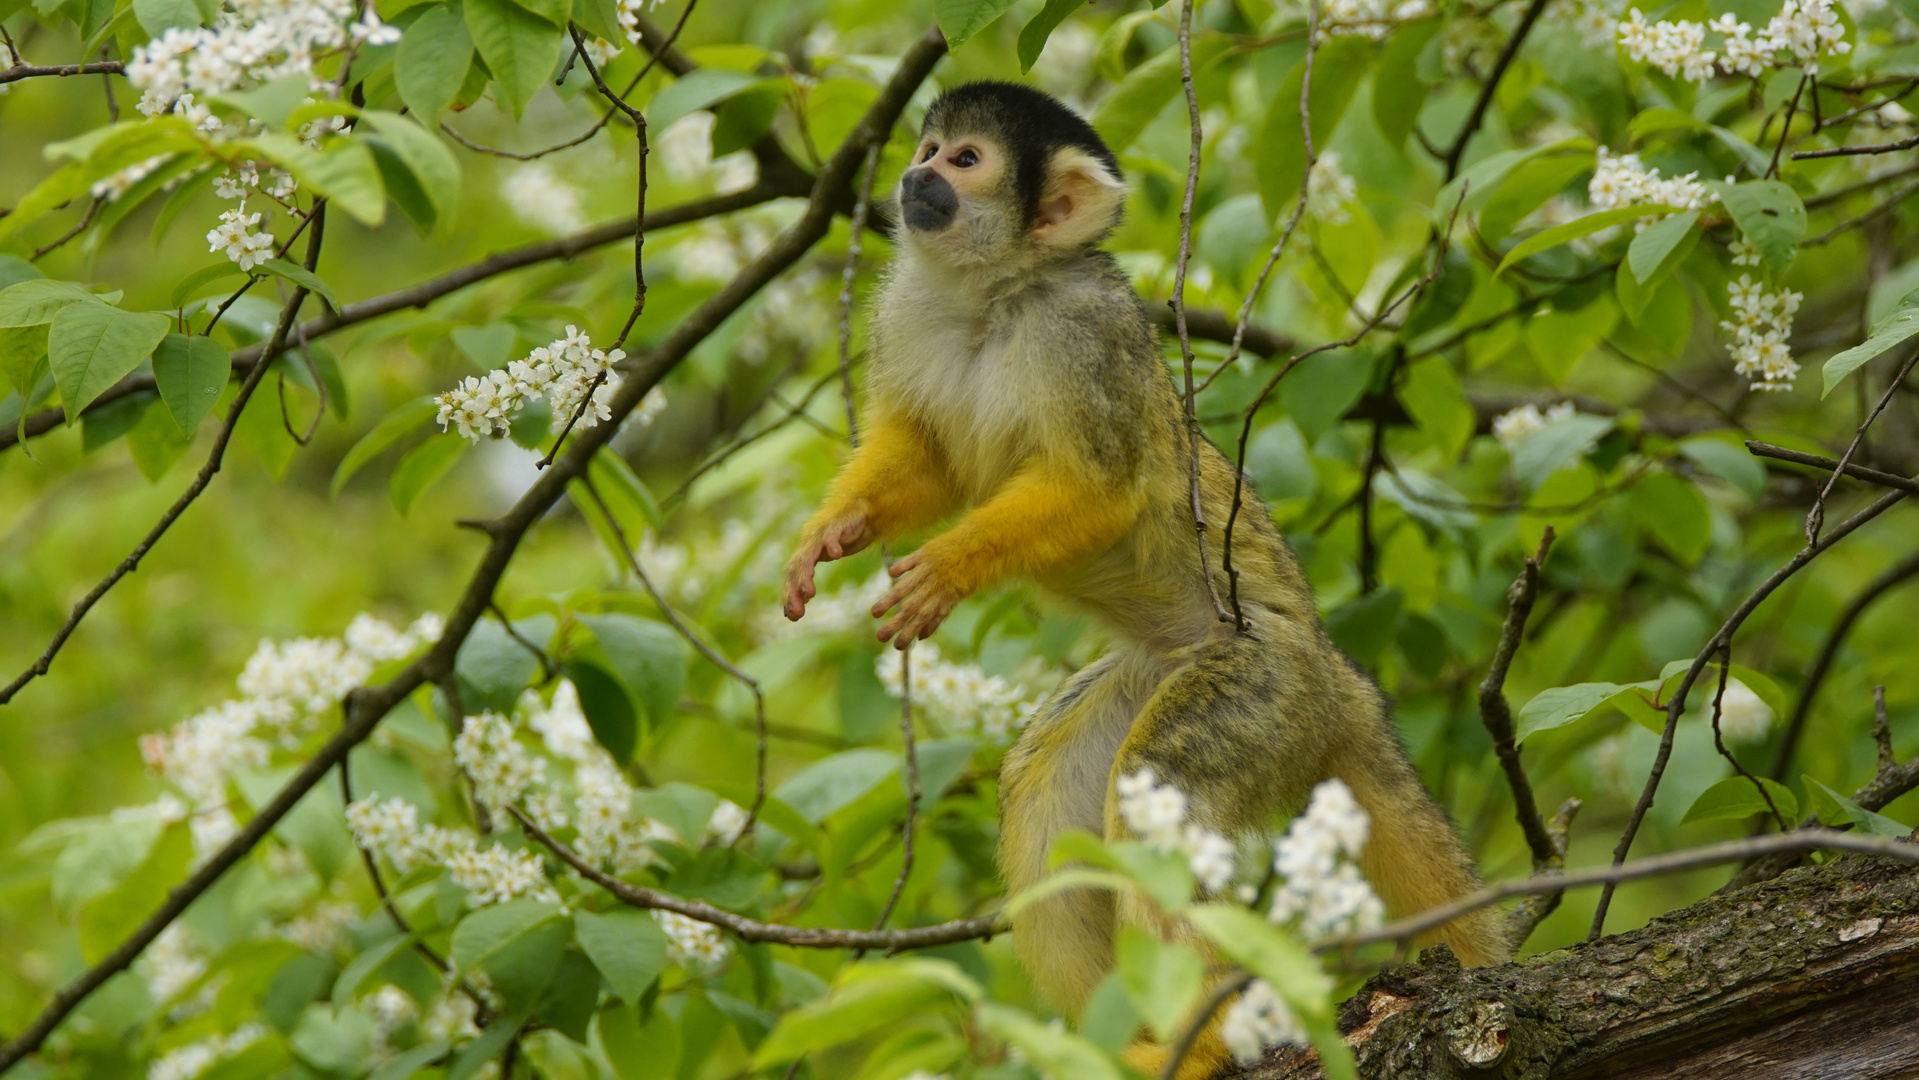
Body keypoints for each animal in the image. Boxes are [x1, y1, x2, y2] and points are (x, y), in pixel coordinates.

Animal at [779, 82, 1496, 1080]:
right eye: (927, 147)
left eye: (966, 161)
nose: (916, 176)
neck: (998, 294)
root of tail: (1336, 672)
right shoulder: (907, 308)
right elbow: (927, 465)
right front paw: (830, 532)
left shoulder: (1091, 334)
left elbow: (1099, 488)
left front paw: (950, 568)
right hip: (1163, 675)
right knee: (1045, 789)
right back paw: (1111, 1042)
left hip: (1262, 685)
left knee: (1164, 781)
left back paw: (1197, 1041)